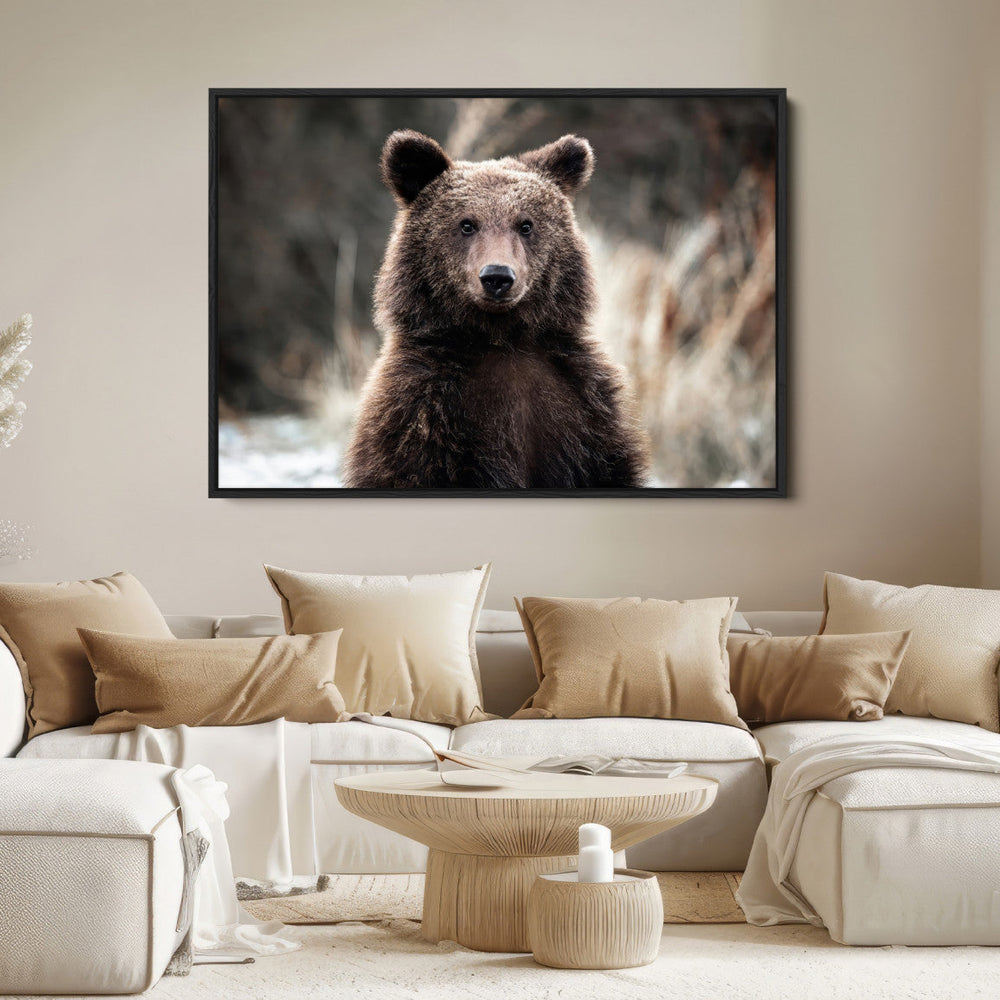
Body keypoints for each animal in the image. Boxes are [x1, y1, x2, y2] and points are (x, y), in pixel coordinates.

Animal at [342, 129, 650, 490]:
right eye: (466, 224)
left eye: (526, 225)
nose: (497, 277)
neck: (501, 338)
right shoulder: (421, 415)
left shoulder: (585, 412)